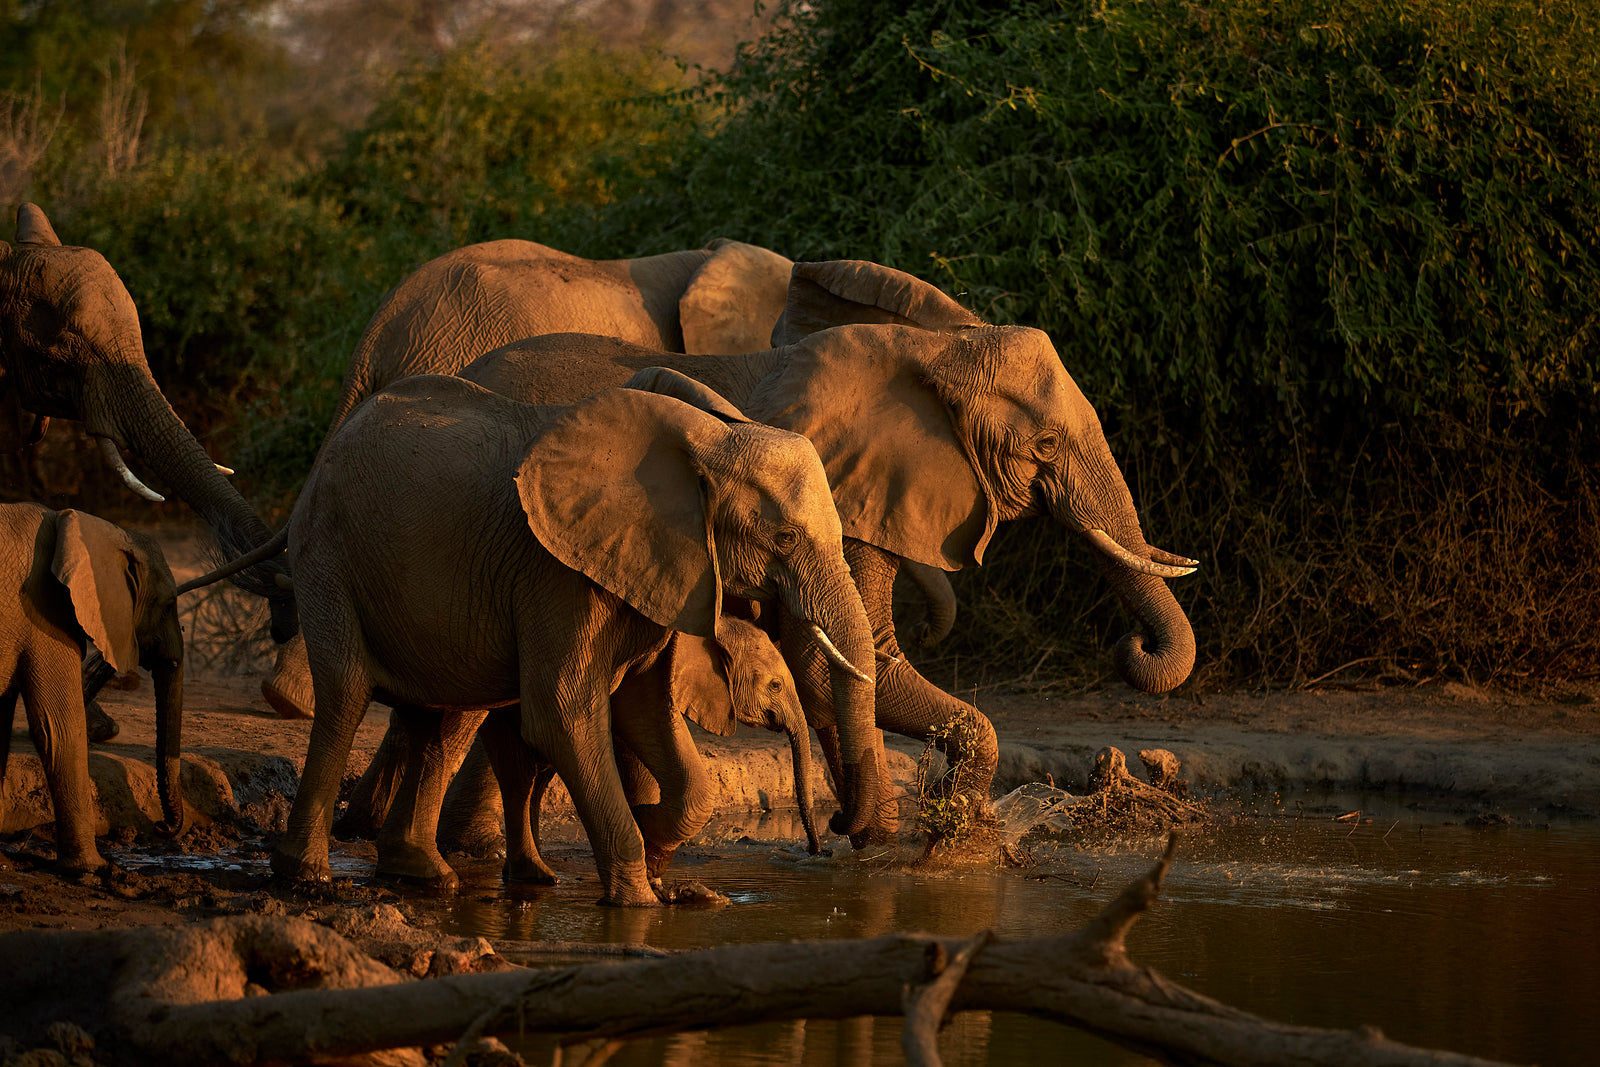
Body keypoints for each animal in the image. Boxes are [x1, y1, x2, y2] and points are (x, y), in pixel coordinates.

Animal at [274, 369, 878, 903]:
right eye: (786, 537)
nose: (832, 834)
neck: (706, 441)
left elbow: (644, 712)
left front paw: (655, 843)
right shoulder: (554, 570)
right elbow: (563, 714)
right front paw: (640, 896)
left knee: (442, 719)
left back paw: (423, 874)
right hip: (327, 551)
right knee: (349, 693)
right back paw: (309, 877)